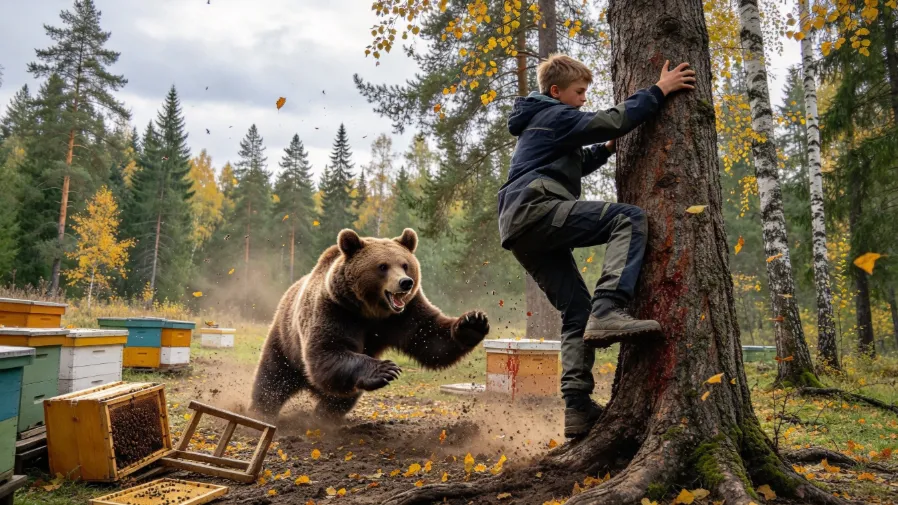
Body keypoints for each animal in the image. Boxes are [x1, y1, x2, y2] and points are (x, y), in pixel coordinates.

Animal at [250, 227, 490, 420]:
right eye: (382, 266)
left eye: (405, 265)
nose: (405, 282)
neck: (371, 311)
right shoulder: (336, 310)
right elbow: (327, 350)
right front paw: (385, 369)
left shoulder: (404, 316)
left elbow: (430, 338)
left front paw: (473, 323)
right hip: (285, 342)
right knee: (272, 380)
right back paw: (261, 411)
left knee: (341, 397)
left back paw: (323, 415)